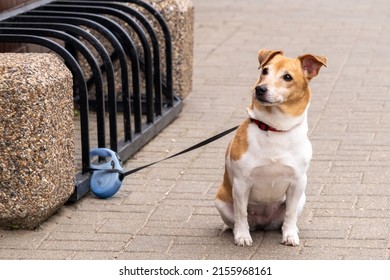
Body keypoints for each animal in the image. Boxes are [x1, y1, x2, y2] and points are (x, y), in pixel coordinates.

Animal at [215, 49, 328, 246]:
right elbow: (241, 213)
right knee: (236, 219)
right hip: (221, 201)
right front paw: (242, 236)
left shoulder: (298, 182)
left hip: (302, 198)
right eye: (265, 71)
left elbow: (290, 214)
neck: (275, 128)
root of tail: (263, 222)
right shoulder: (241, 183)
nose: (260, 89)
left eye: (287, 77)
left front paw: (289, 235)